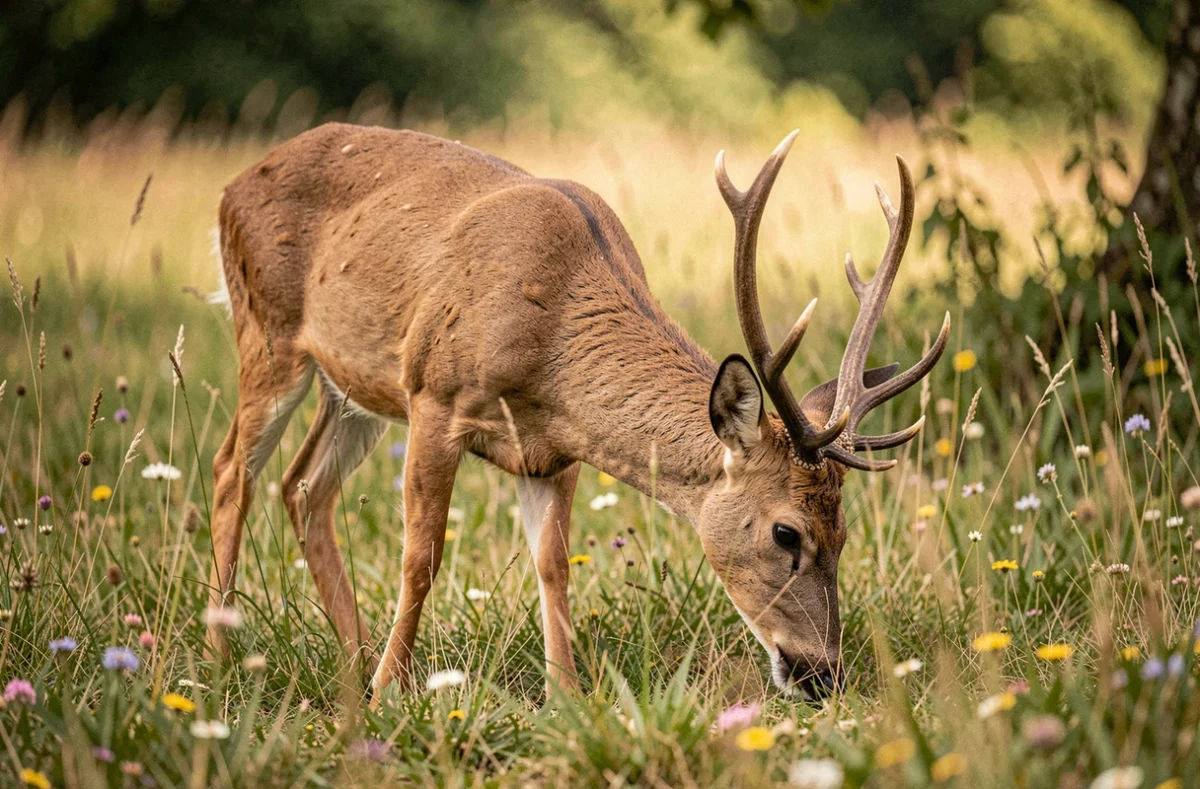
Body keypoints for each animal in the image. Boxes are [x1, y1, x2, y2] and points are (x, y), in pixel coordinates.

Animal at [207, 122, 948, 700]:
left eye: (845, 532)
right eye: (787, 533)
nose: (823, 674)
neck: (554, 328)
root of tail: (230, 187)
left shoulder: (552, 449)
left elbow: (553, 565)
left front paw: (566, 698)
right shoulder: (433, 394)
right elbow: (421, 556)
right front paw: (393, 692)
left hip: (354, 385)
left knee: (302, 486)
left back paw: (355, 658)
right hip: (268, 330)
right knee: (229, 472)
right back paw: (225, 659)